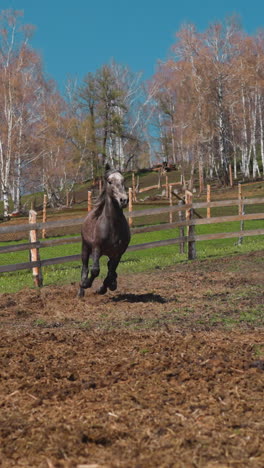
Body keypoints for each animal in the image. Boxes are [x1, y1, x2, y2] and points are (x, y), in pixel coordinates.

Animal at [79, 165, 131, 296]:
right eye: (110, 181)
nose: (124, 200)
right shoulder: (96, 248)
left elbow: (111, 272)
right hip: (85, 247)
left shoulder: (118, 253)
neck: (112, 226)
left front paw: (104, 288)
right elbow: (95, 270)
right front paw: (87, 284)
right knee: (85, 268)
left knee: (109, 268)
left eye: (123, 180)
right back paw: (81, 291)